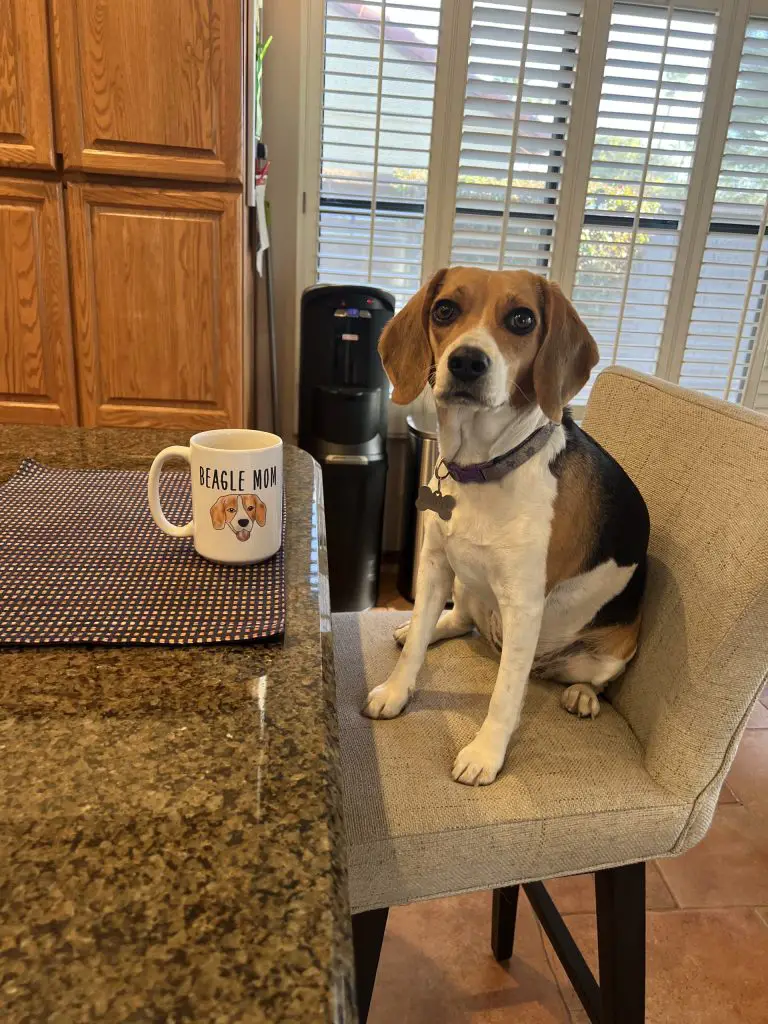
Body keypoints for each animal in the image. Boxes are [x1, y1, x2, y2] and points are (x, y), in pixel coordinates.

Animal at [366, 268, 651, 786]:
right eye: (444, 310)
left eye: (522, 319)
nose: (466, 362)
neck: (485, 465)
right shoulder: (434, 565)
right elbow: (415, 647)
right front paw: (397, 690)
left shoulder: (524, 604)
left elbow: (504, 696)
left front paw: (485, 754)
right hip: (466, 584)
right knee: (458, 619)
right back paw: (425, 625)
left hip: (609, 653)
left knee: (587, 680)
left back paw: (581, 695)